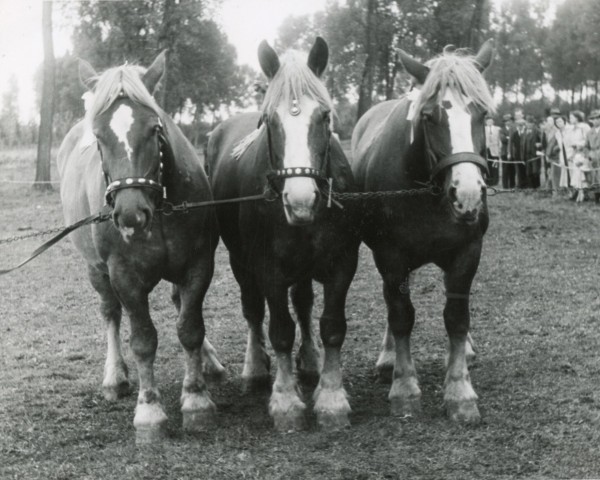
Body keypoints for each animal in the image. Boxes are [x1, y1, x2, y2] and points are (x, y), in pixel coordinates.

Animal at [56, 52, 223, 442]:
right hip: (96, 270)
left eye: (154, 128)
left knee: (179, 306)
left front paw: (196, 399)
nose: (131, 213)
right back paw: (114, 377)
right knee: (110, 313)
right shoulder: (125, 277)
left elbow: (190, 328)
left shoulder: (198, 264)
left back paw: (209, 362)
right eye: (99, 137)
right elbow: (143, 340)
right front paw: (149, 411)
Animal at [206, 36, 358, 428]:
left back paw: (311, 362)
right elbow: (279, 331)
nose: (301, 199)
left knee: (303, 304)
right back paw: (256, 369)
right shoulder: (268, 270)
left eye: (324, 116)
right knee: (253, 311)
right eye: (270, 121)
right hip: (240, 261)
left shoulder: (342, 265)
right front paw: (286, 400)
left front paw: (331, 398)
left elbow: (331, 325)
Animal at [350, 41, 494, 424]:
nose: (468, 193)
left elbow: (456, 317)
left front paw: (459, 391)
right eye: (429, 117)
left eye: (483, 115)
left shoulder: (467, 252)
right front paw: (403, 386)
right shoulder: (391, 256)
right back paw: (388, 359)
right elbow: (400, 314)